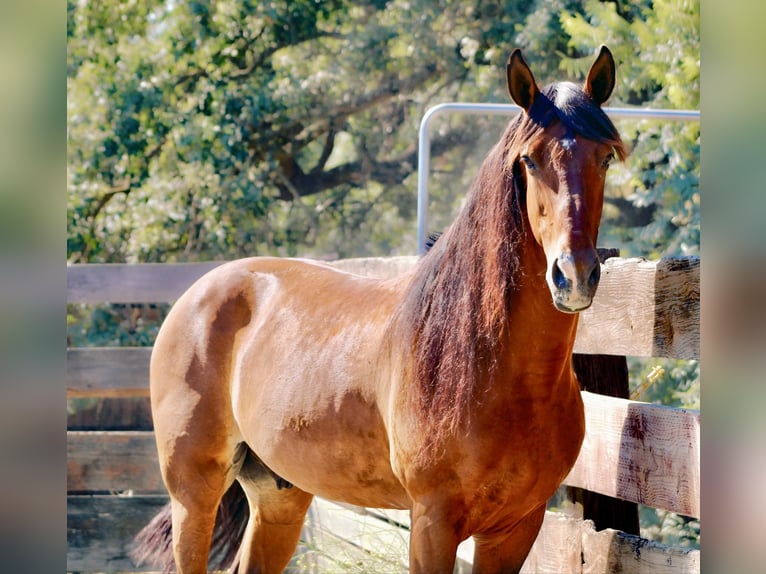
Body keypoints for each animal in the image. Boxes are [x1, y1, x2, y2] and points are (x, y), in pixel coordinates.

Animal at [135, 47, 628, 572]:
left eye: (604, 158)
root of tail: (201, 291)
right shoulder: (432, 523)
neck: (485, 365)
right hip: (195, 494)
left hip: (279, 494)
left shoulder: (516, 528)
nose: (573, 274)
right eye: (530, 160)